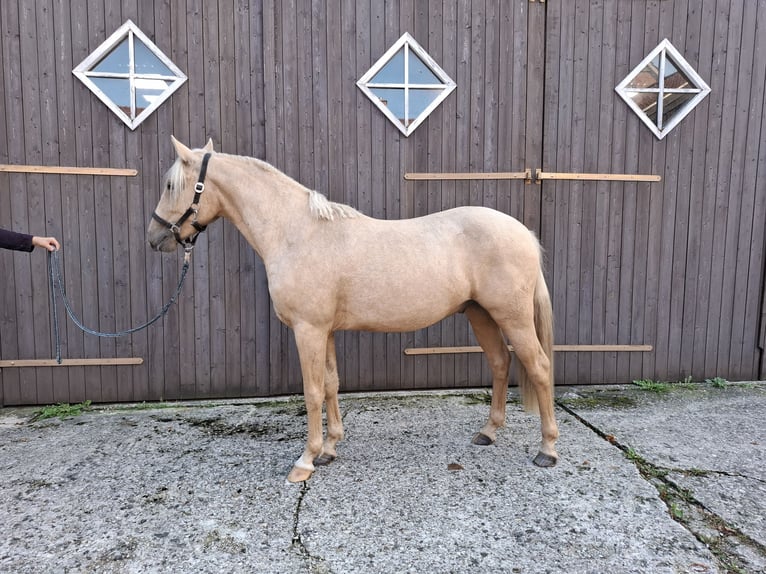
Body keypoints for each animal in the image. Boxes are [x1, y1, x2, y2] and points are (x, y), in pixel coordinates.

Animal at [148, 138, 560, 482]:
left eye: (170, 185)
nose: (154, 239)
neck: (297, 234)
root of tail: (524, 233)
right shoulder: (325, 331)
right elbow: (331, 384)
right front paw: (330, 448)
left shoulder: (308, 330)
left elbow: (312, 391)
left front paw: (305, 461)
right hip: (480, 314)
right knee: (501, 363)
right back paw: (488, 433)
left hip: (511, 316)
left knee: (539, 367)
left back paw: (547, 449)